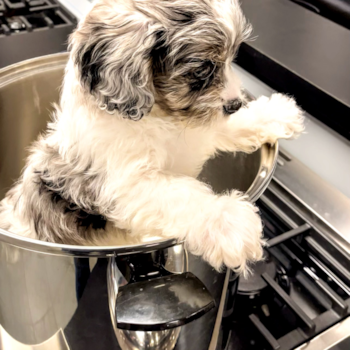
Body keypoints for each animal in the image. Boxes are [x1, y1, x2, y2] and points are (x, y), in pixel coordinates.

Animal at [0, 0, 304, 274]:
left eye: (231, 60)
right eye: (203, 69)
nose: (235, 103)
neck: (158, 115)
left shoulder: (197, 129)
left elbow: (225, 126)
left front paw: (275, 113)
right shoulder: (128, 184)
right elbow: (184, 195)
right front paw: (229, 222)